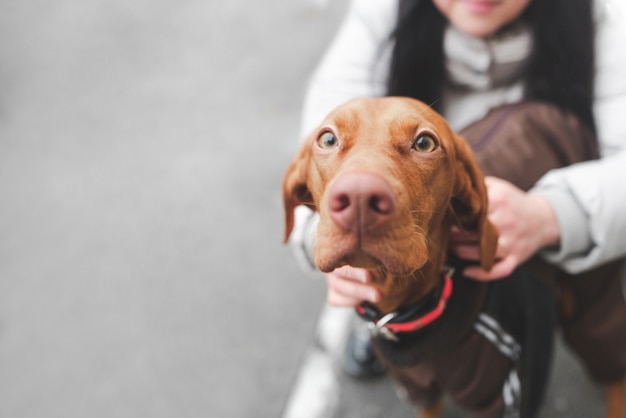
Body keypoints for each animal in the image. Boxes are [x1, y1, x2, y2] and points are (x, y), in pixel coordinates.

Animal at [282, 96, 624, 416]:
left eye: (424, 143)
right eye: (328, 139)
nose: (359, 198)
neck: (408, 308)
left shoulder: (506, 397)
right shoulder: (420, 393)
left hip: (591, 302)